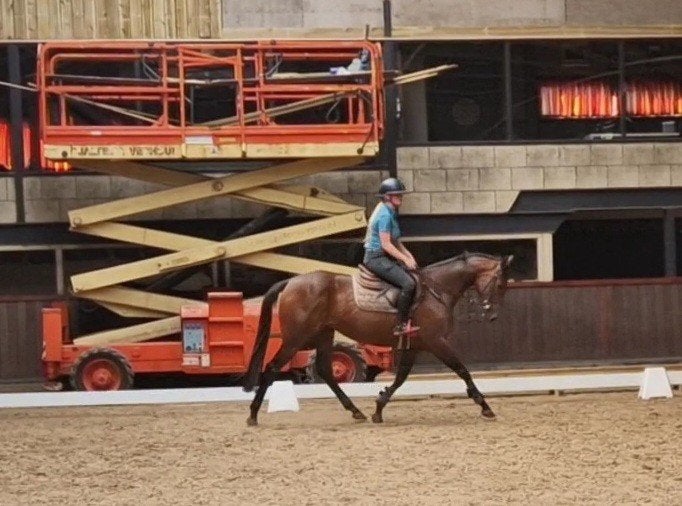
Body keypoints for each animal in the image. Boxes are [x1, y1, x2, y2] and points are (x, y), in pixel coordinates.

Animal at [243, 252, 513, 426]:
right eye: (500, 284)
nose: (493, 315)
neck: (437, 290)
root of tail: (292, 281)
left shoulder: (415, 346)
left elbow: (401, 378)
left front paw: (379, 407)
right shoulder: (437, 342)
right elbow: (462, 370)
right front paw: (485, 406)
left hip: (323, 335)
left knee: (326, 371)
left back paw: (356, 411)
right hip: (295, 339)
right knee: (271, 368)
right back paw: (253, 415)